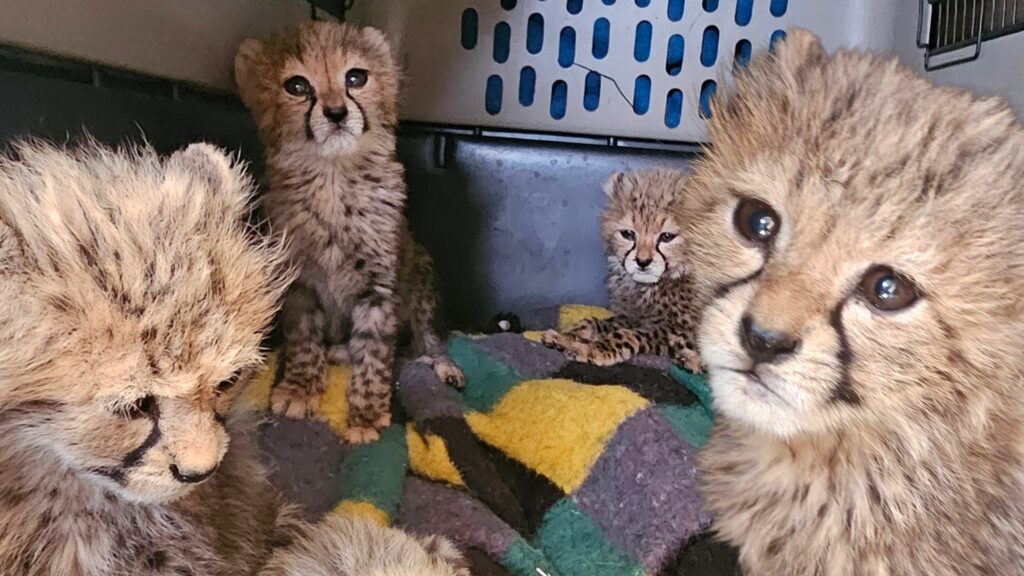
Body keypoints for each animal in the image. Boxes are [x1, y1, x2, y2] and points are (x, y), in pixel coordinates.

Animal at [234, 21, 463, 444]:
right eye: (296, 86)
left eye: (356, 78)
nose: (336, 113)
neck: (333, 177)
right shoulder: (300, 284)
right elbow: (304, 339)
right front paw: (300, 387)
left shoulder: (379, 288)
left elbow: (375, 351)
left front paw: (367, 414)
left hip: (422, 275)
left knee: (425, 340)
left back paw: (444, 365)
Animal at [542, 168, 703, 373]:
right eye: (628, 234)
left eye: (667, 236)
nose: (643, 262)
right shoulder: (630, 316)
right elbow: (595, 323)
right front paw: (566, 337)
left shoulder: (681, 331)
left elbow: (629, 335)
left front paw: (591, 349)